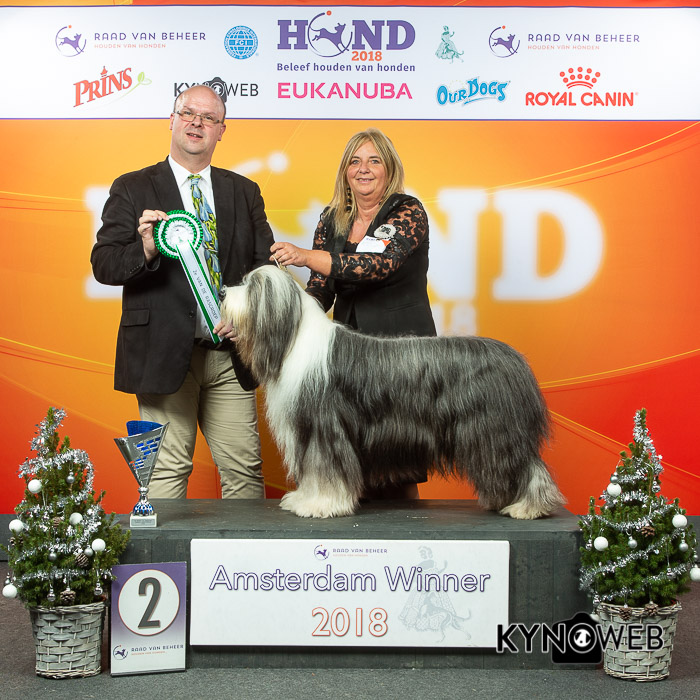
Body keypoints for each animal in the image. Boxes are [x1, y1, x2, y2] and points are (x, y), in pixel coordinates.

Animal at [221, 266, 565, 519]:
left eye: (251, 286)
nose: (223, 290)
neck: (292, 338)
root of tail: (514, 360)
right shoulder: (308, 431)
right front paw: (302, 499)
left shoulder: (325, 428)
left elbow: (325, 469)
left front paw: (320, 505)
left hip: (494, 430)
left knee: (527, 466)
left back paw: (528, 507)